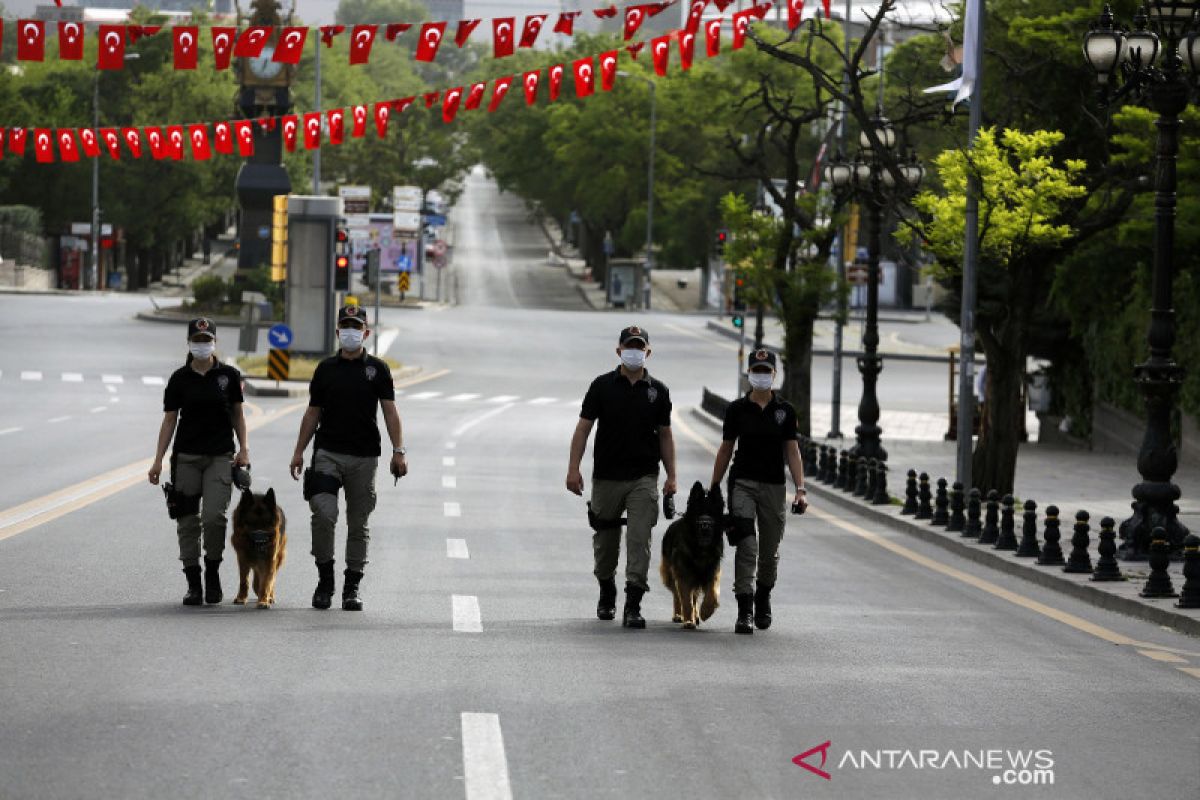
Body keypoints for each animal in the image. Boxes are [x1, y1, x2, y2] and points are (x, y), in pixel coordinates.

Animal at [662, 482, 724, 633]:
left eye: (712, 513)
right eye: (698, 512)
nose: (705, 525)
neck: (701, 550)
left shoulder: (712, 572)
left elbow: (712, 594)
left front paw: (706, 611)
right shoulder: (684, 576)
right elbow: (686, 601)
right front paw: (688, 621)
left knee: (694, 596)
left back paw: (695, 615)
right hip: (670, 574)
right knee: (677, 595)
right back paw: (679, 615)